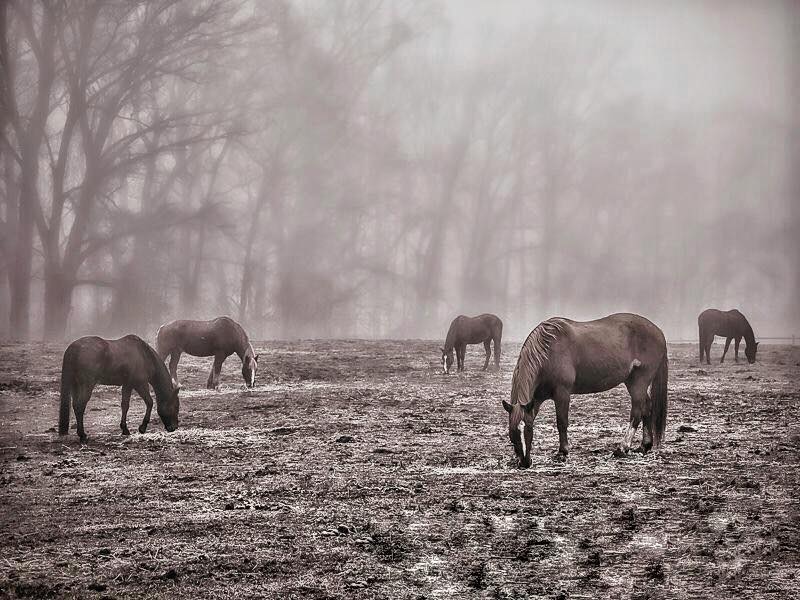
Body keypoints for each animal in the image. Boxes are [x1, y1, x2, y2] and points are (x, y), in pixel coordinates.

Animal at [502, 313, 668, 468]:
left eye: (528, 430)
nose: (524, 462)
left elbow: (561, 422)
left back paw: (622, 448)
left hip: (639, 382)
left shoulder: (562, 394)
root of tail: (658, 331)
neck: (548, 353)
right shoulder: (535, 400)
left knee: (637, 412)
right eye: (513, 432)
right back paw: (644, 446)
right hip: (633, 382)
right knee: (647, 407)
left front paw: (562, 452)